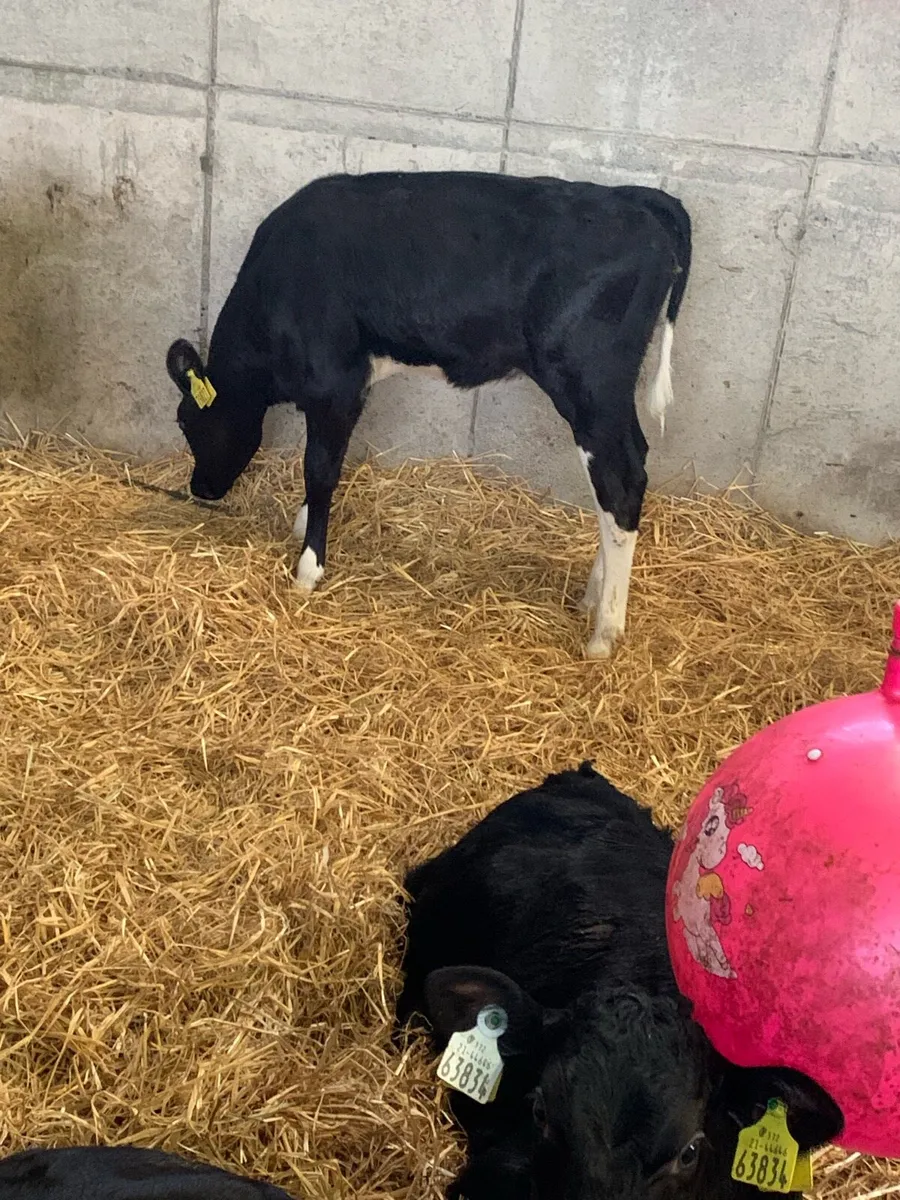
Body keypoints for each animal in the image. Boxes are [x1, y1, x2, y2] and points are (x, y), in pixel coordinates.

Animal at [166, 170, 692, 659]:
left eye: (188, 421)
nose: (200, 488)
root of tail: (633, 198)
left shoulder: (335, 384)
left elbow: (319, 469)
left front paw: (308, 568)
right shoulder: (354, 387)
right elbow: (329, 461)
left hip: (589, 383)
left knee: (620, 483)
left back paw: (604, 633)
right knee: (627, 472)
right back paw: (591, 599)